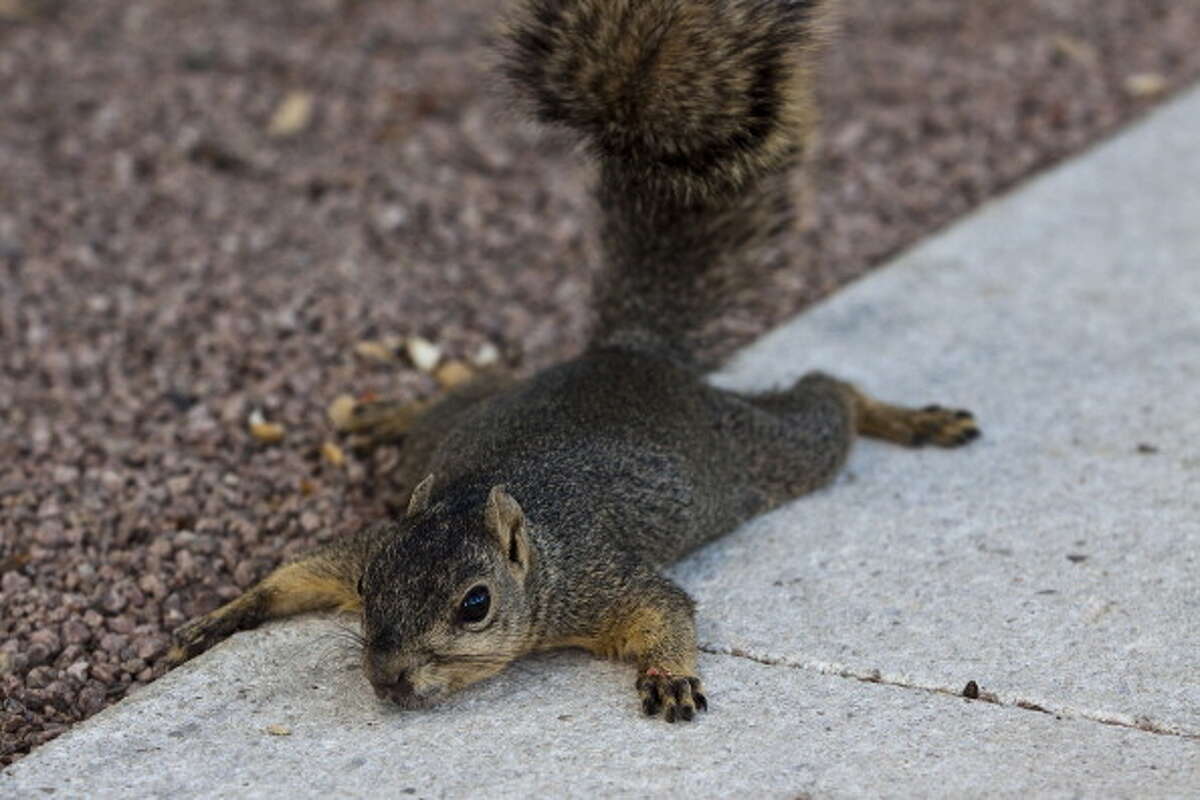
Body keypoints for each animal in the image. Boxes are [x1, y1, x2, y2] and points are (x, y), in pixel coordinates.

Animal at [169, 0, 979, 724]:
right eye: (369, 586)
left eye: (476, 604)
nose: (389, 680)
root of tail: (627, 354)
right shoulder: (372, 539)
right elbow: (302, 571)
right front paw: (223, 614)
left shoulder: (600, 580)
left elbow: (666, 608)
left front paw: (671, 676)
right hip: (453, 428)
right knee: (473, 390)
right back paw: (389, 414)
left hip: (764, 453)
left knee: (827, 398)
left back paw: (910, 419)